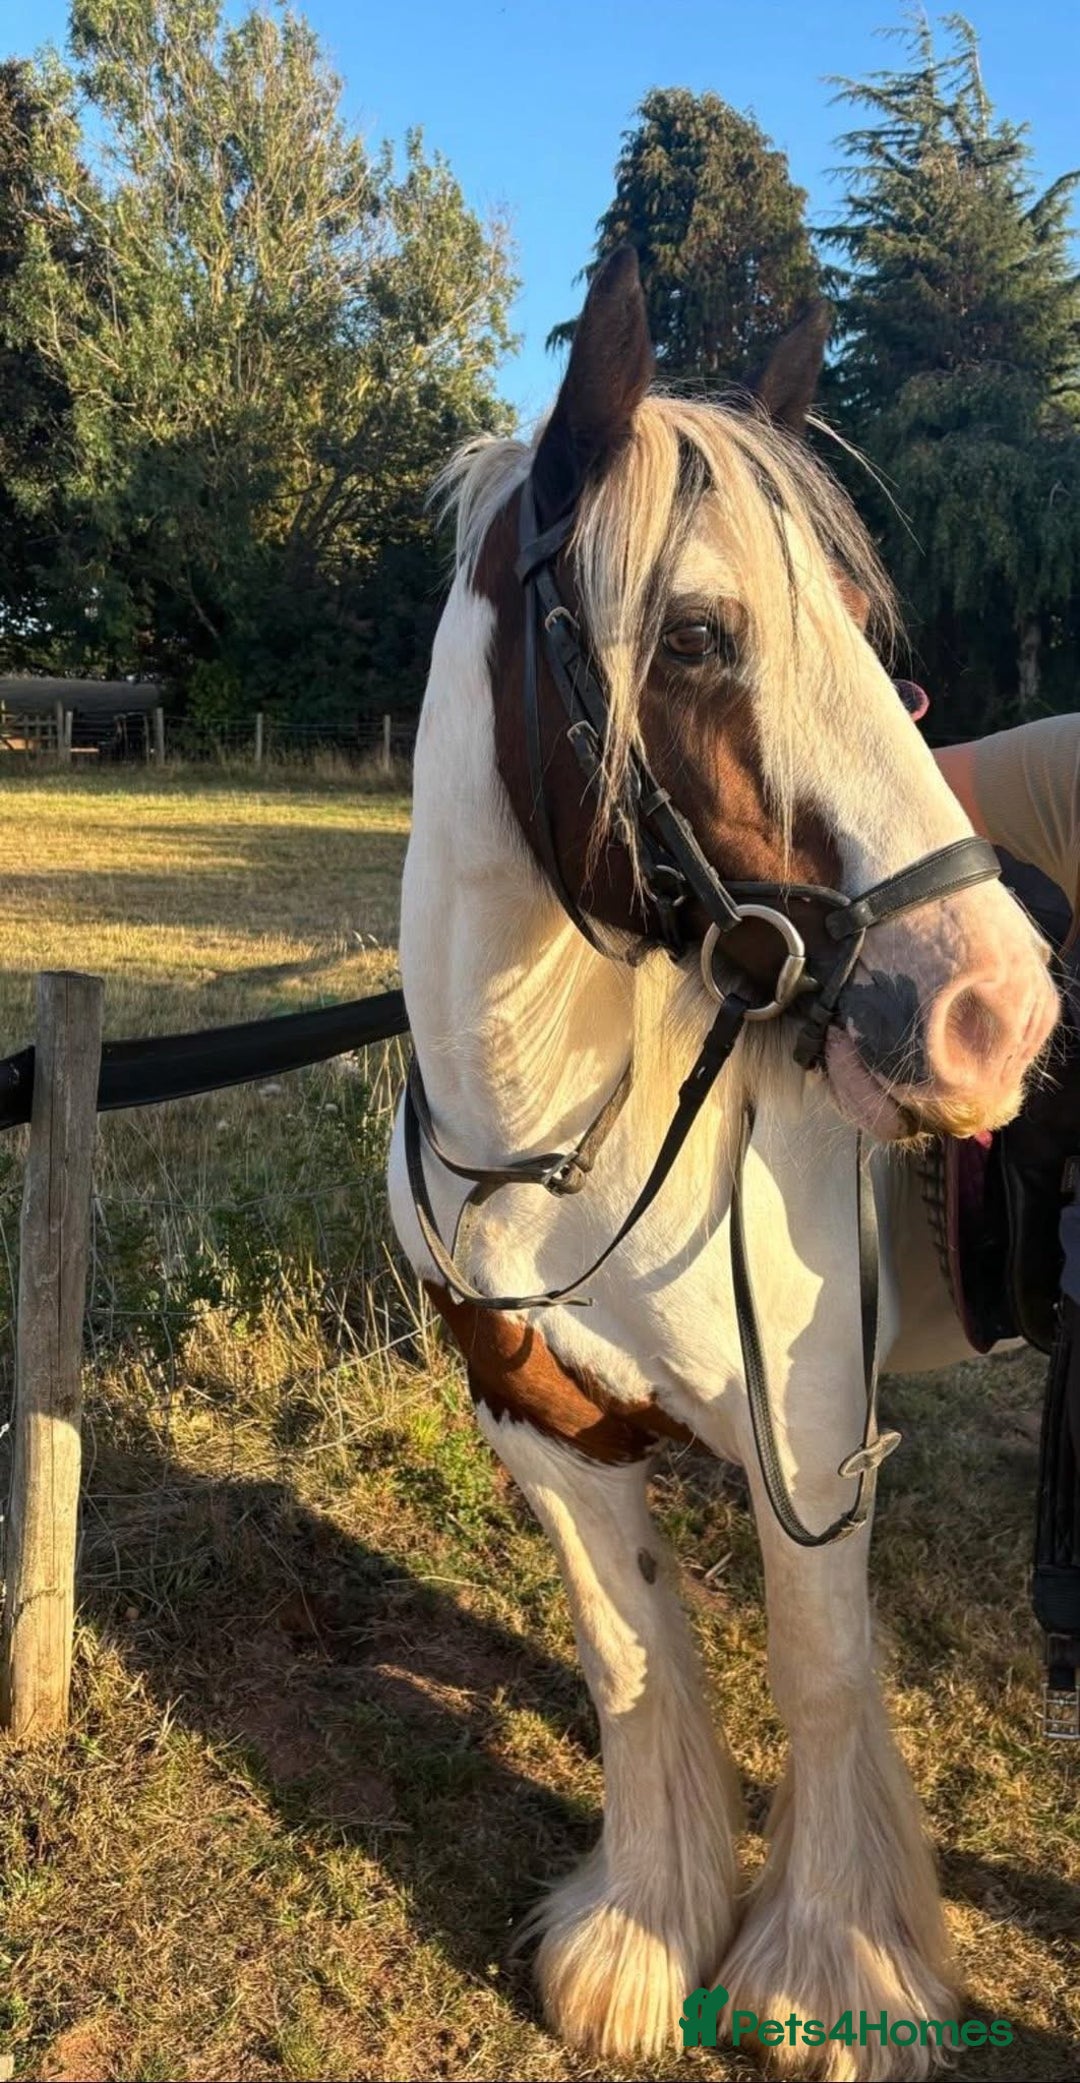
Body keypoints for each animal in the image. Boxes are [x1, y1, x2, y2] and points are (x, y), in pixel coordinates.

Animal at [386, 247, 1058, 2080]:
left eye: (871, 642)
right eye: (694, 634)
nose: (994, 1013)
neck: (560, 1152)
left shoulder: (811, 1439)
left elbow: (823, 1676)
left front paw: (831, 1969)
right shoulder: (541, 1424)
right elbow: (632, 1661)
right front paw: (641, 1934)